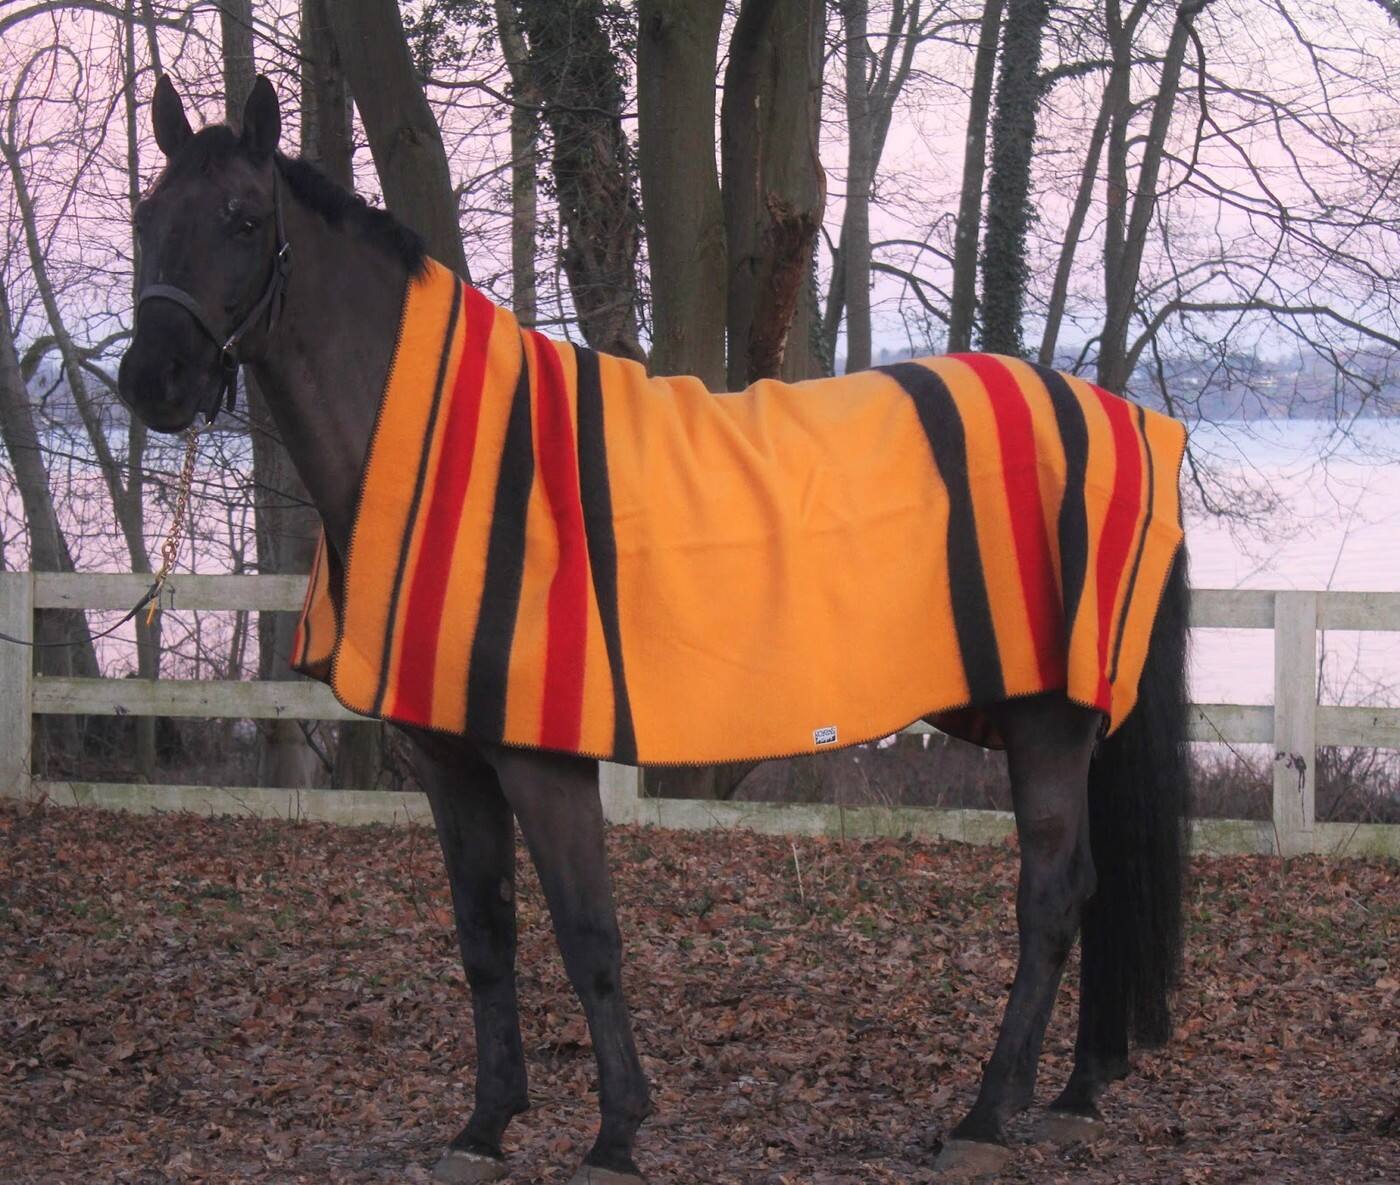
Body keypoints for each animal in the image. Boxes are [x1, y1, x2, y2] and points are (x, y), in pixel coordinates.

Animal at [117, 76, 1191, 1184]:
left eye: (244, 220)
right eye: (147, 218)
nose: (150, 382)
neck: (453, 457)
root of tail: (1122, 417)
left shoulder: (542, 758)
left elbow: (588, 934)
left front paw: (616, 1133)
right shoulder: (448, 760)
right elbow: (485, 935)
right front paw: (485, 1125)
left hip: (1049, 721)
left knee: (1051, 894)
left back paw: (987, 1112)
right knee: (1093, 889)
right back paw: (1067, 1092)